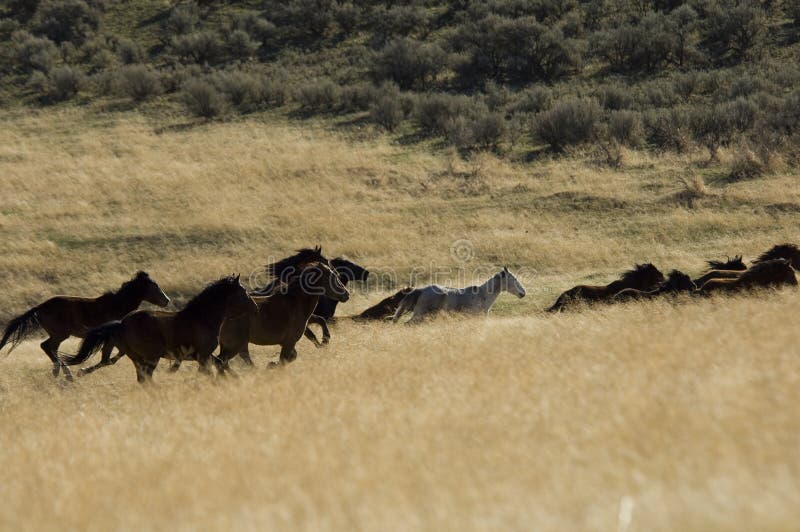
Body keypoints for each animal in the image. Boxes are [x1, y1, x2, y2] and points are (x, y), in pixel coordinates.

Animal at [0, 272, 169, 380]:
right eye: (154, 286)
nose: (166, 300)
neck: (116, 306)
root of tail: (40, 307)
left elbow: (113, 358)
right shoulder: (111, 337)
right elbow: (108, 359)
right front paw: (82, 371)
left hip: (58, 335)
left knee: (50, 348)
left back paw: (60, 372)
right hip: (60, 334)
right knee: (46, 346)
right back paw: (65, 373)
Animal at [62, 274, 256, 382]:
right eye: (243, 292)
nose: (255, 307)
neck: (203, 318)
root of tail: (121, 324)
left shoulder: (204, 355)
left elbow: (219, 364)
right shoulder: (202, 355)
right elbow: (211, 371)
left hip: (137, 359)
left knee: (141, 379)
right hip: (151, 358)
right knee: (145, 379)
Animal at [216, 260, 350, 368]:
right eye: (332, 276)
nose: (346, 294)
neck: (296, 300)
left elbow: (319, 321)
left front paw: (324, 341)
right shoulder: (289, 342)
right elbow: (284, 360)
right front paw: (271, 365)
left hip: (236, 344)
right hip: (236, 344)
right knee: (223, 361)